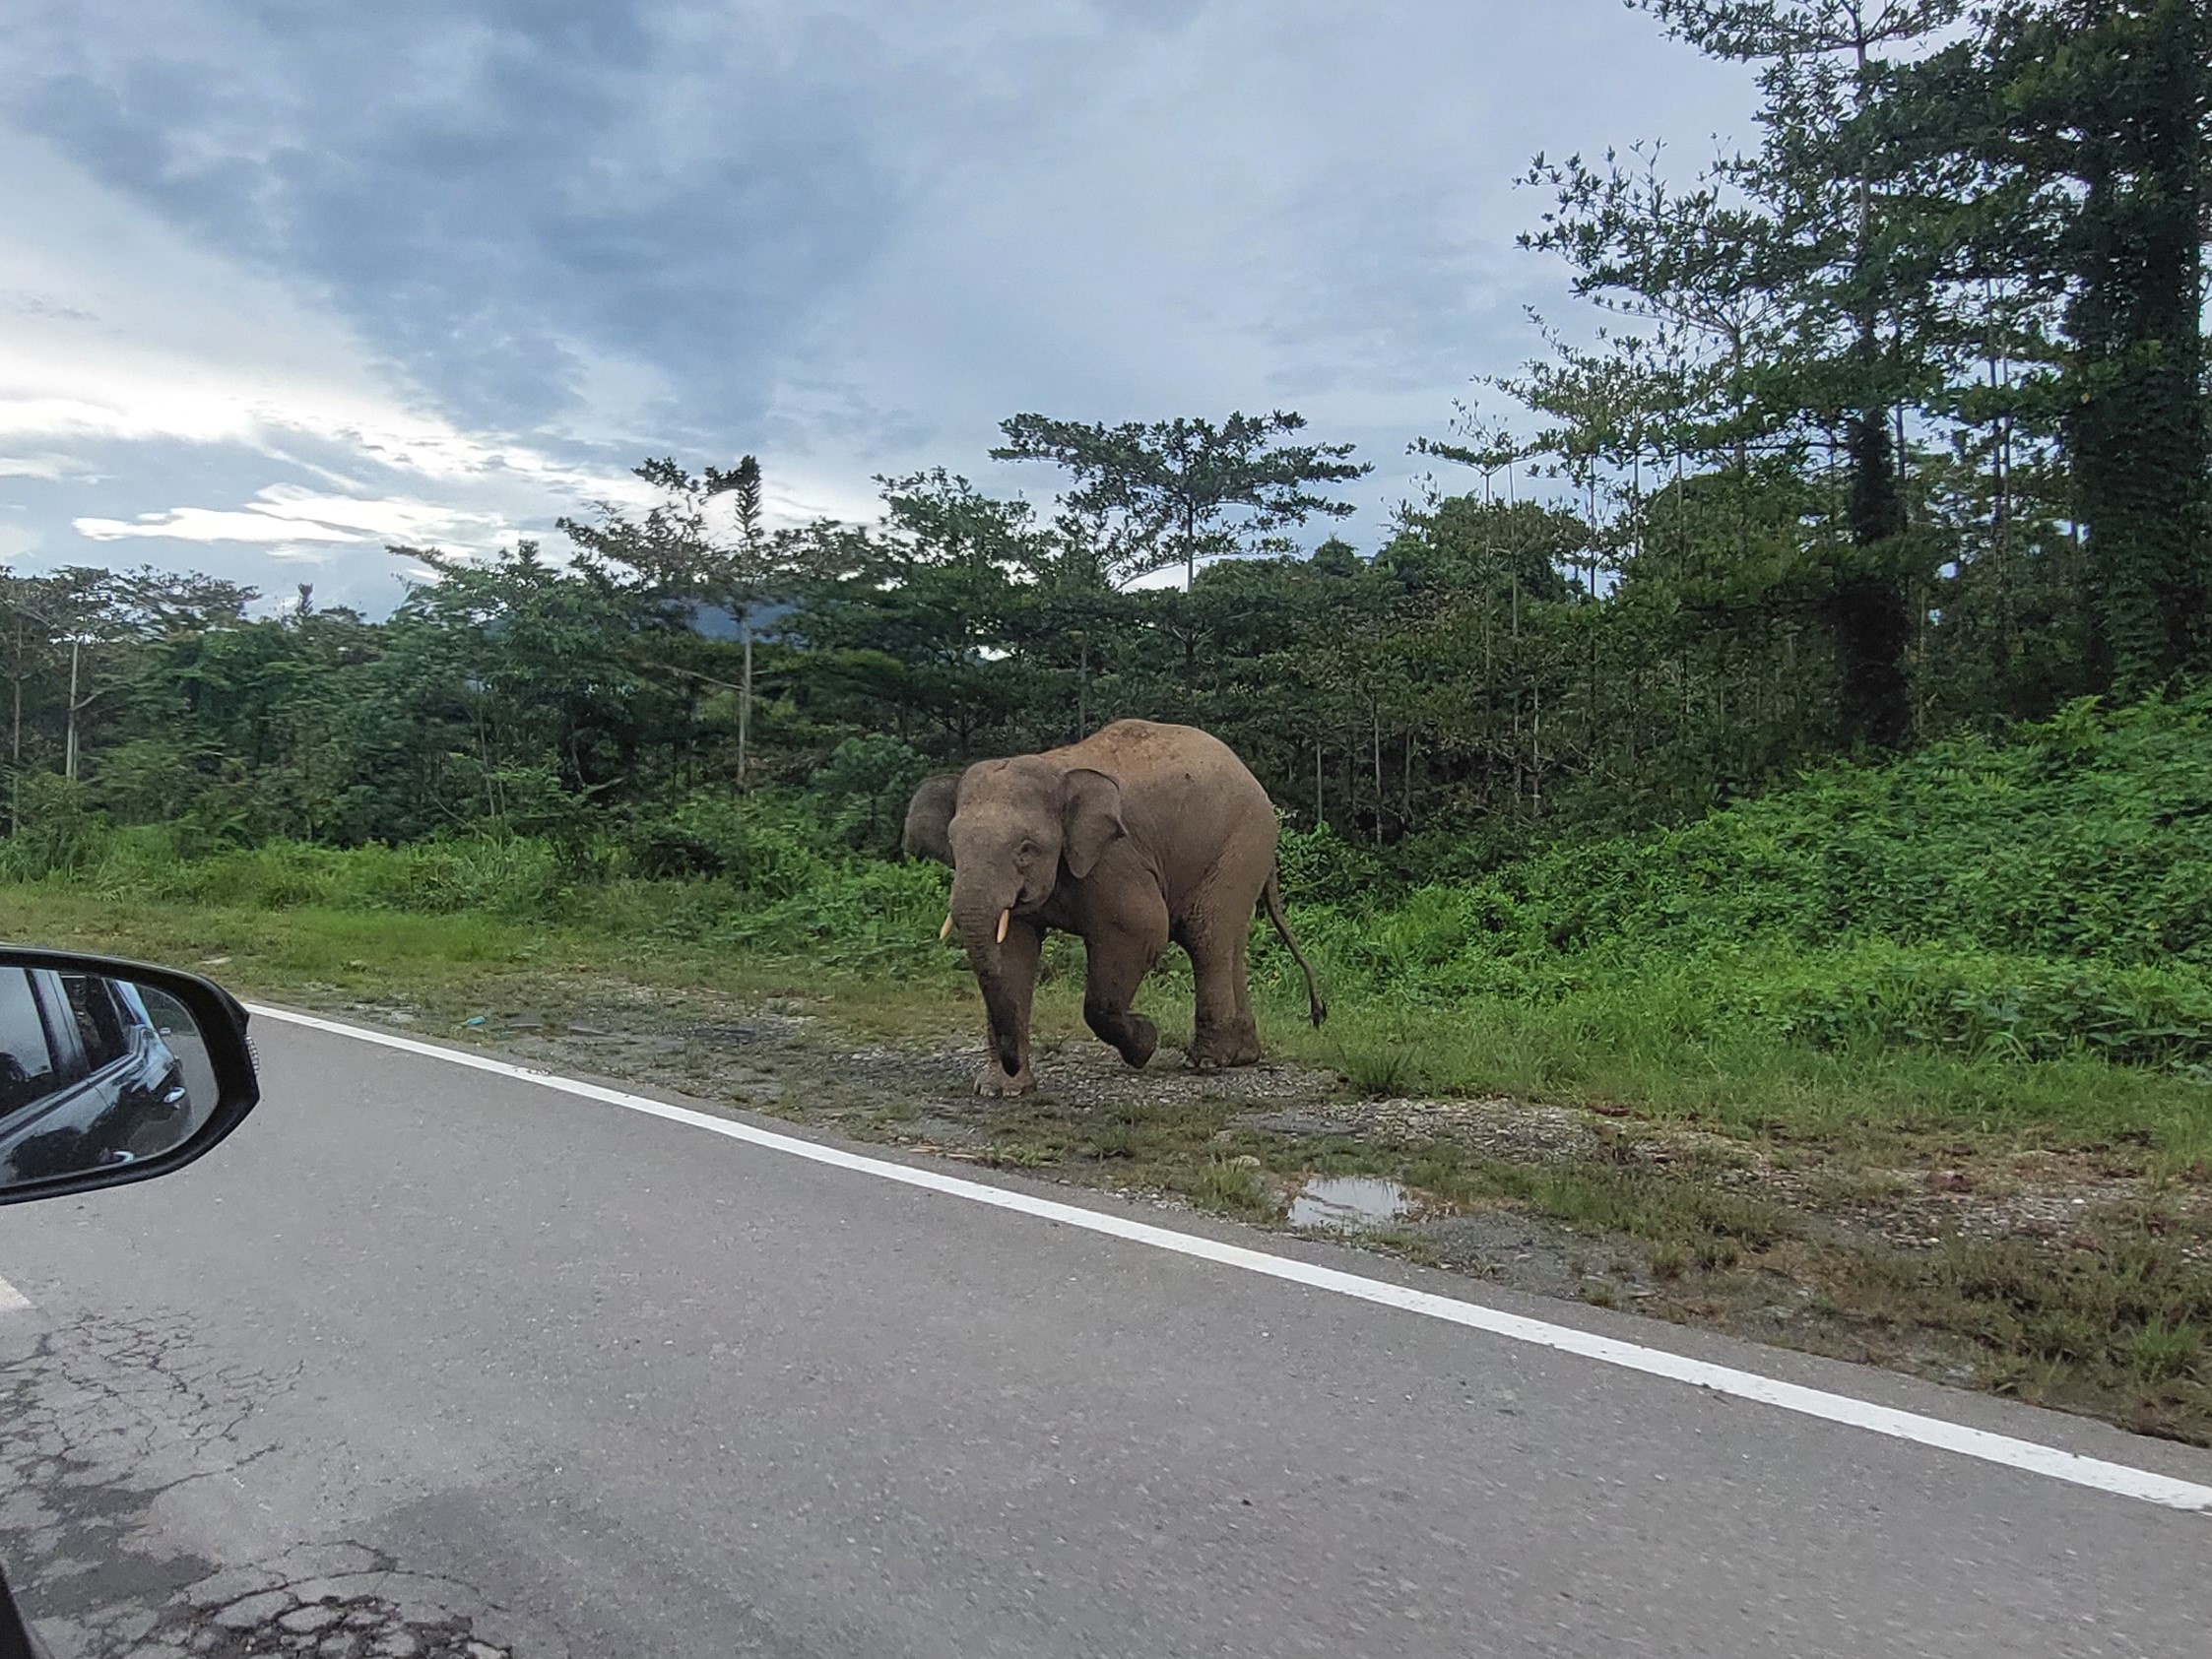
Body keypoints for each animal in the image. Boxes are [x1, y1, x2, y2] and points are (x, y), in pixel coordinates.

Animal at [902, 716, 1318, 1097]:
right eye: (953, 844)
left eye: (1026, 848)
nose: (1011, 1064)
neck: (1054, 768)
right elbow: (1012, 952)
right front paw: (1000, 1090)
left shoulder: (1116, 859)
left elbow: (1141, 931)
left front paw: (1145, 1043)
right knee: (1231, 945)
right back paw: (1242, 1057)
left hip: (1239, 846)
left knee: (1206, 938)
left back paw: (1206, 1062)